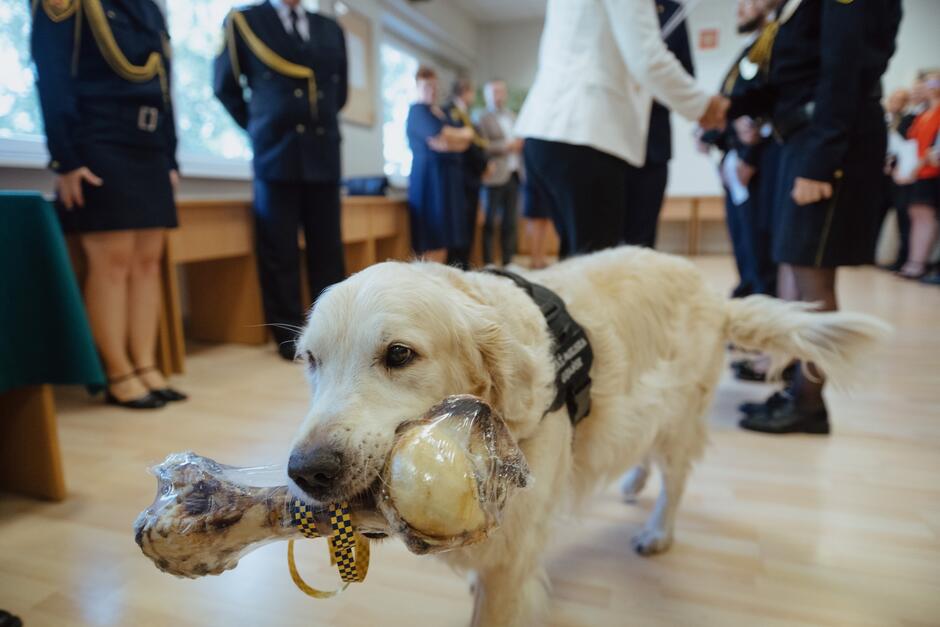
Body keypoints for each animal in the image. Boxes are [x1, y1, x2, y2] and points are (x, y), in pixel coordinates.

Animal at [288, 248, 888, 624]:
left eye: (399, 354)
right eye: (310, 359)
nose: (306, 471)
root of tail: (716, 297)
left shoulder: (511, 561)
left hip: (677, 421)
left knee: (676, 482)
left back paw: (658, 531)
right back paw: (633, 480)